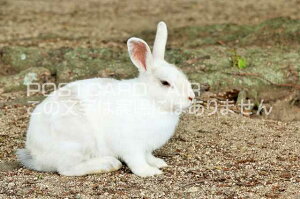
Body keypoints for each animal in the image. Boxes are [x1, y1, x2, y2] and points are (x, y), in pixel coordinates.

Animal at [17, 21, 195, 177]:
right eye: (165, 83)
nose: (191, 97)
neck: (150, 99)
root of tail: (35, 153)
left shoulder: (146, 147)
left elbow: (148, 156)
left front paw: (158, 163)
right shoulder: (131, 145)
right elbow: (137, 161)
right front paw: (149, 172)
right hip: (77, 142)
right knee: (67, 169)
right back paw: (108, 164)